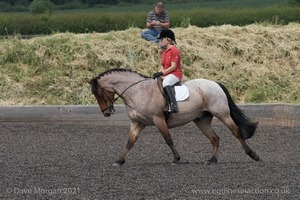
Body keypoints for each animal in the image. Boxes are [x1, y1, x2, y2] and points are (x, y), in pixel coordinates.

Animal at [86, 69, 260, 166]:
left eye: (98, 93)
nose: (106, 113)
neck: (138, 91)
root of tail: (215, 83)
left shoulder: (158, 120)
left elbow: (168, 139)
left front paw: (176, 158)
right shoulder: (137, 123)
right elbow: (130, 142)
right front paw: (120, 161)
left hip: (222, 114)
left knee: (236, 132)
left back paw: (253, 154)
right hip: (202, 121)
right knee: (215, 138)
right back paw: (212, 160)